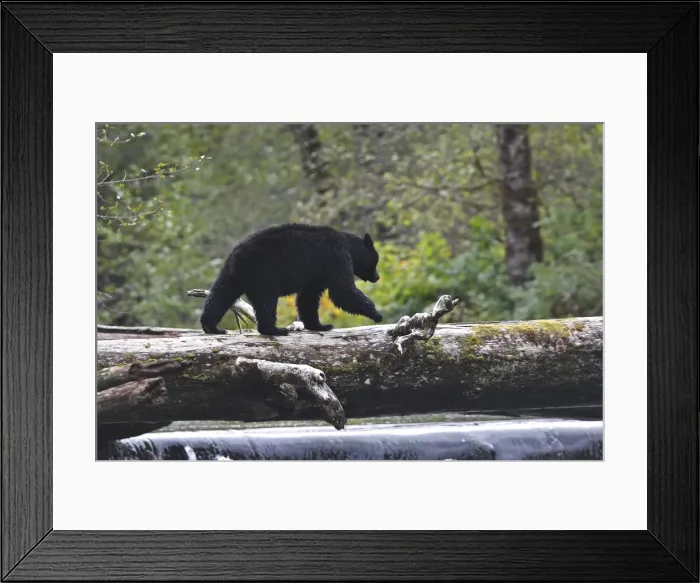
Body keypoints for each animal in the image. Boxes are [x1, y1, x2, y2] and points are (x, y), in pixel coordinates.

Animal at [200, 223, 383, 336]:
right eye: (375, 261)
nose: (377, 277)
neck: (349, 247)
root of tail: (237, 256)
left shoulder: (316, 273)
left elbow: (308, 298)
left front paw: (320, 325)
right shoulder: (334, 259)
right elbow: (342, 291)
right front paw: (376, 314)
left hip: (232, 276)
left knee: (220, 295)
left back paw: (211, 326)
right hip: (264, 272)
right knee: (266, 301)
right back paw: (274, 329)